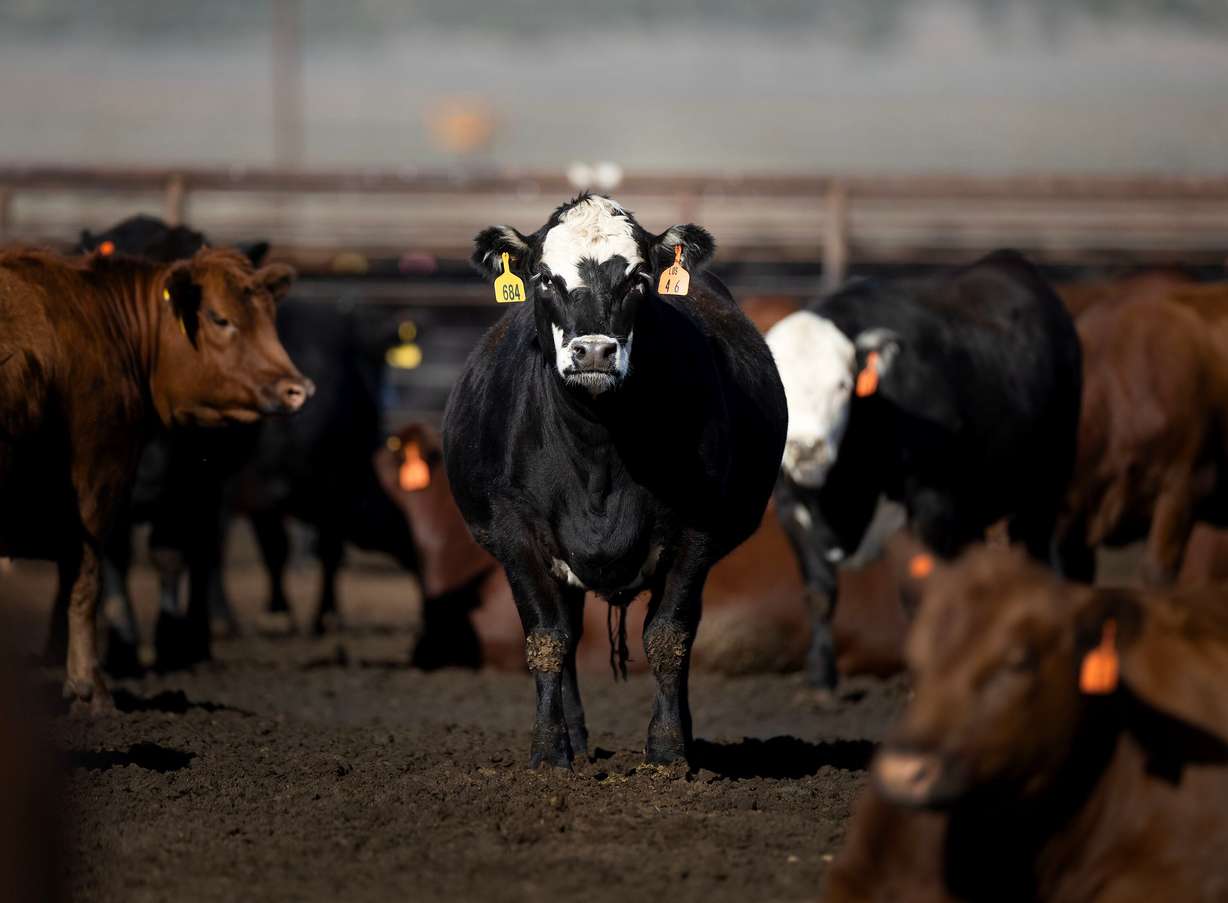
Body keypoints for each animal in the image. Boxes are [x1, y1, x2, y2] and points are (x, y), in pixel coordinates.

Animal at [0, 246, 312, 710]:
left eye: (269, 316)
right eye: (219, 317)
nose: (297, 389)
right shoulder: (98, 478)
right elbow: (86, 577)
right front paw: (89, 689)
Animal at [442, 194, 787, 768]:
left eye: (639, 278)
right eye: (544, 277)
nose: (594, 352)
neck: (599, 455)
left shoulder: (697, 532)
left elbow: (668, 638)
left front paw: (668, 752)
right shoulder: (515, 533)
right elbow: (547, 639)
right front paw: (548, 753)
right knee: (568, 633)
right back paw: (576, 742)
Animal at [767, 251, 1083, 689]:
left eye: (843, 385)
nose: (805, 447)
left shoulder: (932, 504)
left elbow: (922, 596)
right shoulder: (790, 508)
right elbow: (819, 593)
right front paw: (821, 678)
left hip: (1045, 484)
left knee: (1034, 549)